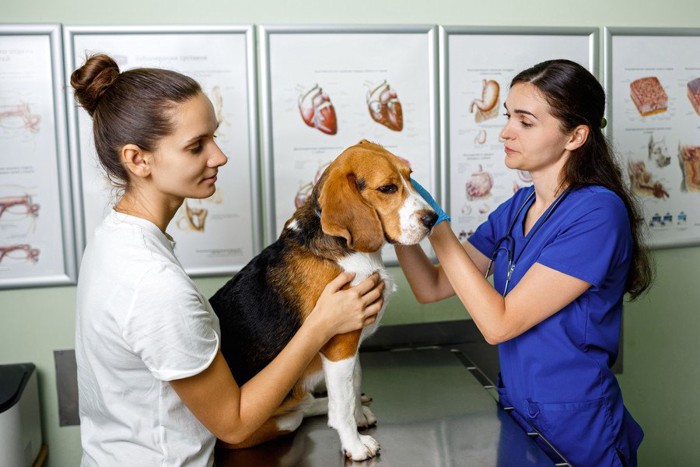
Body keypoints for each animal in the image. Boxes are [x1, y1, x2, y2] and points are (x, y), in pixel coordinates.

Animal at [209, 140, 438, 460]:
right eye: (388, 188)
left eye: (410, 176)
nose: (433, 218)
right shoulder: (340, 342)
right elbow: (342, 403)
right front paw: (354, 444)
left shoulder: (351, 341)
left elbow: (354, 381)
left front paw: (358, 416)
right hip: (266, 424)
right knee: (299, 411)